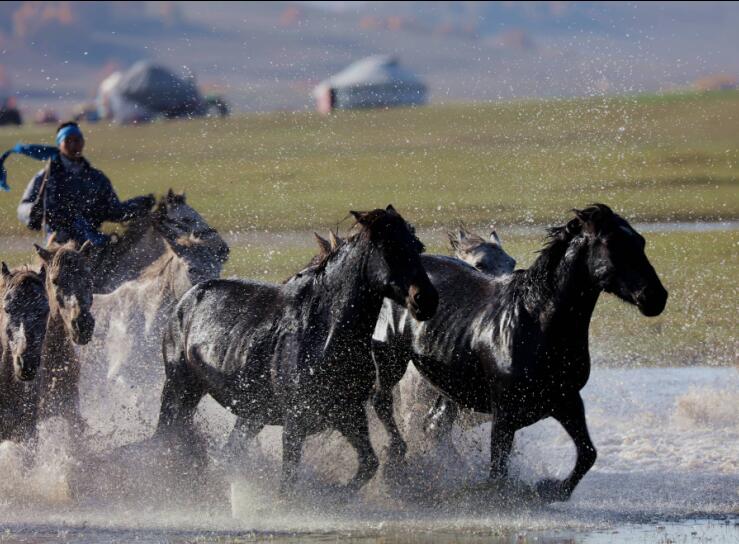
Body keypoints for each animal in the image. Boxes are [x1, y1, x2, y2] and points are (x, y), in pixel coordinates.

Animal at [153, 205, 436, 492]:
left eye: (417, 245)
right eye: (389, 247)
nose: (426, 300)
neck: (324, 335)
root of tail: (187, 299)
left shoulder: (349, 415)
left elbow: (368, 464)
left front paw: (337, 493)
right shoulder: (294, 424)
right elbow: (288, 483)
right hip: (179, 389)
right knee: (165, 437)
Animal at [372, 205, 668, 502]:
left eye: (640, 241)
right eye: (611, 243)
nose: (655, 297)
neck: (535, 322)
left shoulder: (566, 400)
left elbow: (588, 453)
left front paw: (550, 489)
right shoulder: (505, 412)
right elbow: (498, 472)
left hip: (448, 387)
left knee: (434, 426)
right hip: (392, 362)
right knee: (384, 404)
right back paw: (397, 464)